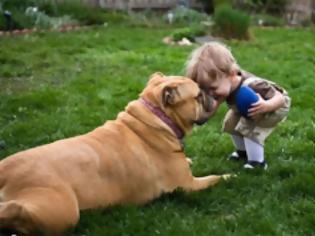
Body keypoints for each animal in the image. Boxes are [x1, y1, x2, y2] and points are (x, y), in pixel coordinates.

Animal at [0, 73, 232, 235]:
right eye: (198, 95)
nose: (210, 93)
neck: (157, 117)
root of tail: (4, 171)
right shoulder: (188, 185)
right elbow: (215, 178)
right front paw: (230, 176)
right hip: (61, 208)